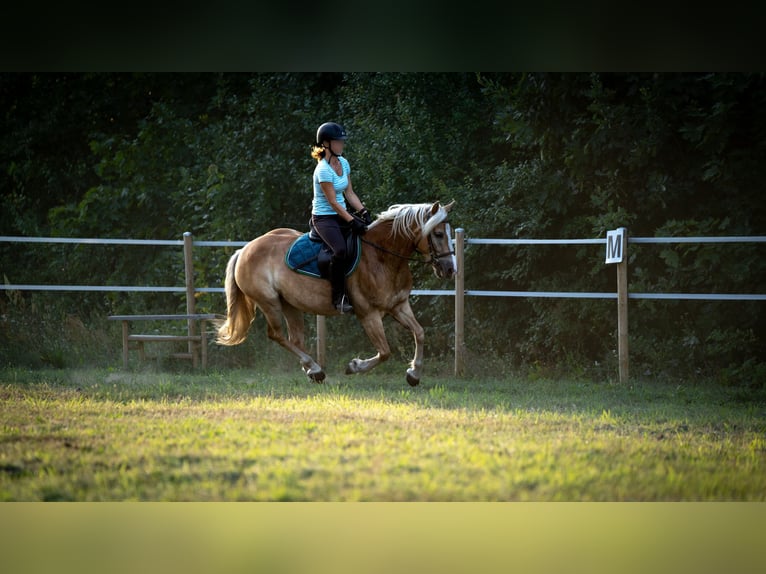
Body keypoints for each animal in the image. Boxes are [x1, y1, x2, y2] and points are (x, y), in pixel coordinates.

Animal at [216, 202, 456, 388]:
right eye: (438, 234)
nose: (450, 269)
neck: (382, 257)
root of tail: (245, 249)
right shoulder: (368, 314)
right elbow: (385, 351)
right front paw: (355, 366)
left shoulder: (399, 305)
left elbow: (420, 333)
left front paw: (414, 374)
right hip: (269, 303)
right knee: (277, 335)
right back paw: (315, 369)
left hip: (290, 304)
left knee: (295, 338)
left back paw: (312, 371)